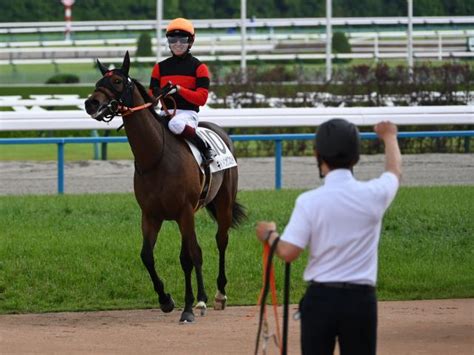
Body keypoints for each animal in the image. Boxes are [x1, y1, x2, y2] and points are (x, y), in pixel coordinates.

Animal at [84, 52, 246, 322]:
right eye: (99, 81)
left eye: (117, 81)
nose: (91, 104)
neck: (156, 157)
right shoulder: (151, 214)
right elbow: (147, 256)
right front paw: (166, 299)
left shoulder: (183, 211)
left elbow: (189, 257)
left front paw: (191, 306)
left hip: (221, 203)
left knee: (219, 241)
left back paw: (218, 295)